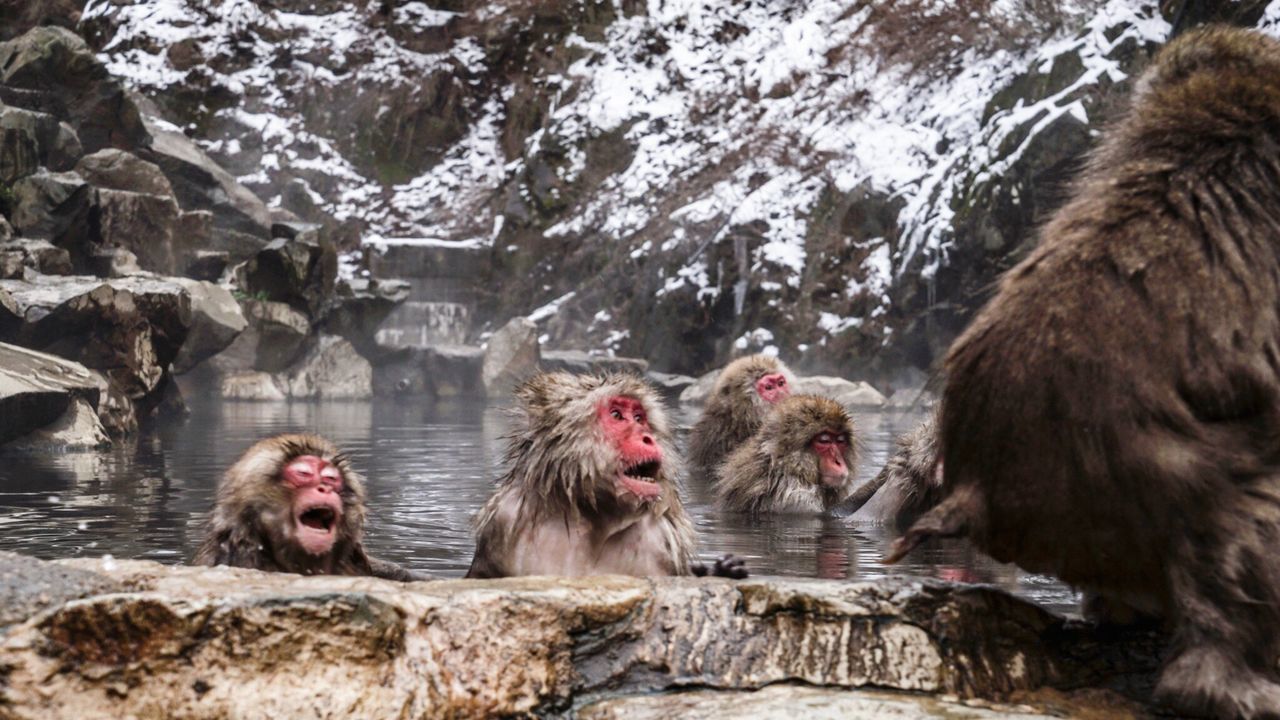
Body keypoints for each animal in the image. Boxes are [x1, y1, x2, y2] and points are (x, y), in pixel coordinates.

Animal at [468, 368, 747, 576]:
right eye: (616, 415)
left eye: (639, 418)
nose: (647, 437)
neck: (592, 516)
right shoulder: (503, 521)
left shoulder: (657, 542)